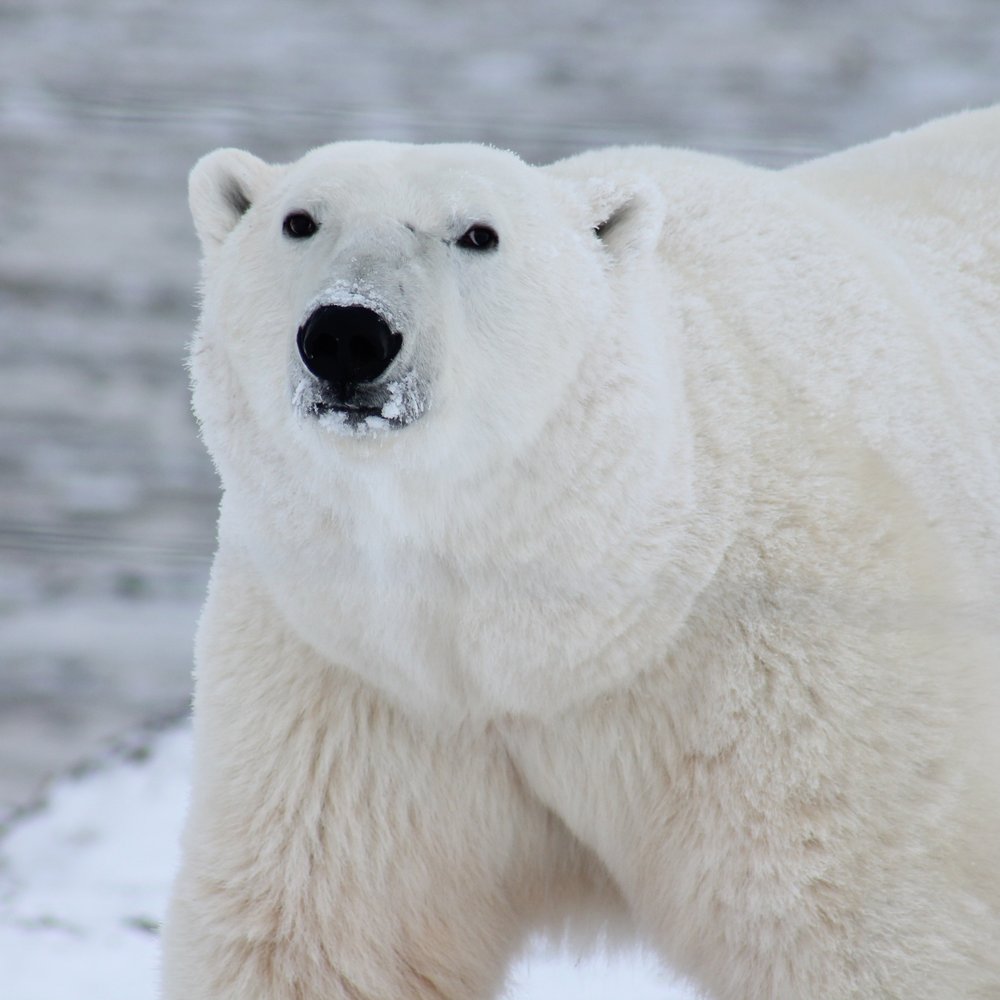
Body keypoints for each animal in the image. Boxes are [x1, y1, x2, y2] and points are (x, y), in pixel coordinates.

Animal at [164, 105, 1000, 996]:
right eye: (299, 220)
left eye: (478, 233)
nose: (348, 333)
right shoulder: (353, 681)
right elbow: (323, 933)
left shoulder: (794, 677)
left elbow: (856, 924)